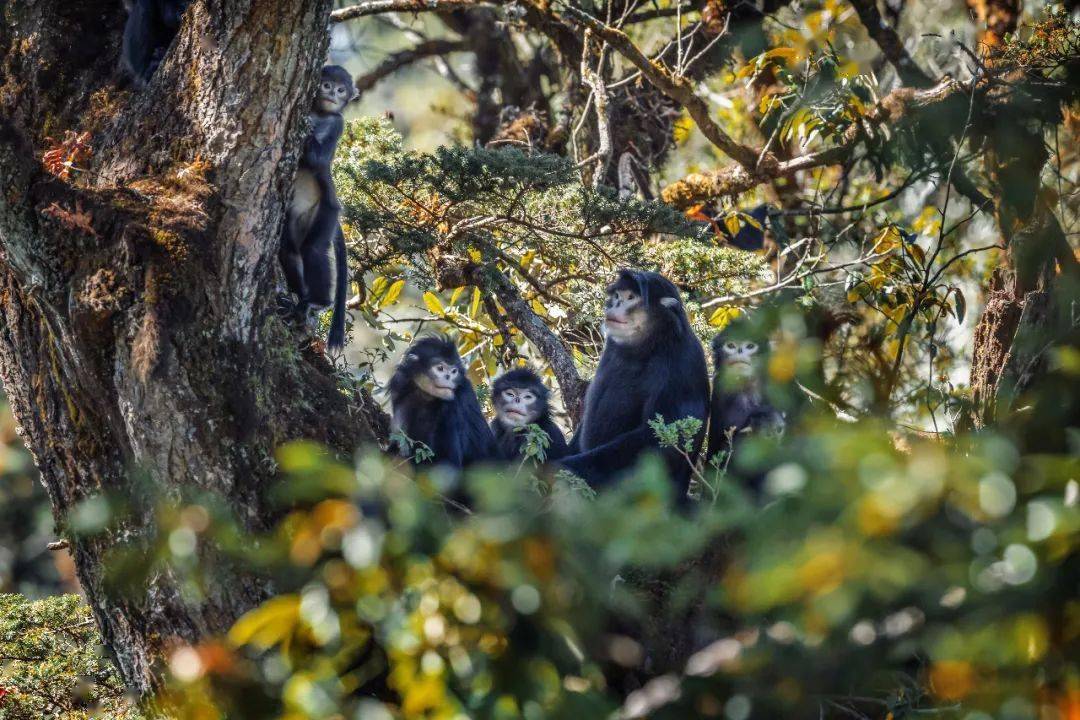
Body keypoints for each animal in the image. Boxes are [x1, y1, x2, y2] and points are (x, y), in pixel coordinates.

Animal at [280, 66, 356, 354]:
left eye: (341, 89)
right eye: (326, 84)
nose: (332, 94)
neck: (320, 112)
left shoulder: (337, 123)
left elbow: (318, 159)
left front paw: (308, 129)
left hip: (326, 211)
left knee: (312, 249)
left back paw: (318, 302)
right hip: (294, 218)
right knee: (289, 250)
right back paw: (301, 300)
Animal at [561, 269, 712, 500]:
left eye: (631, 298)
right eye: (617, 296)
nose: (615, 305)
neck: (650, 346)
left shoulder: (682, 365)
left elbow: (662, 442)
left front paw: (564, 466)